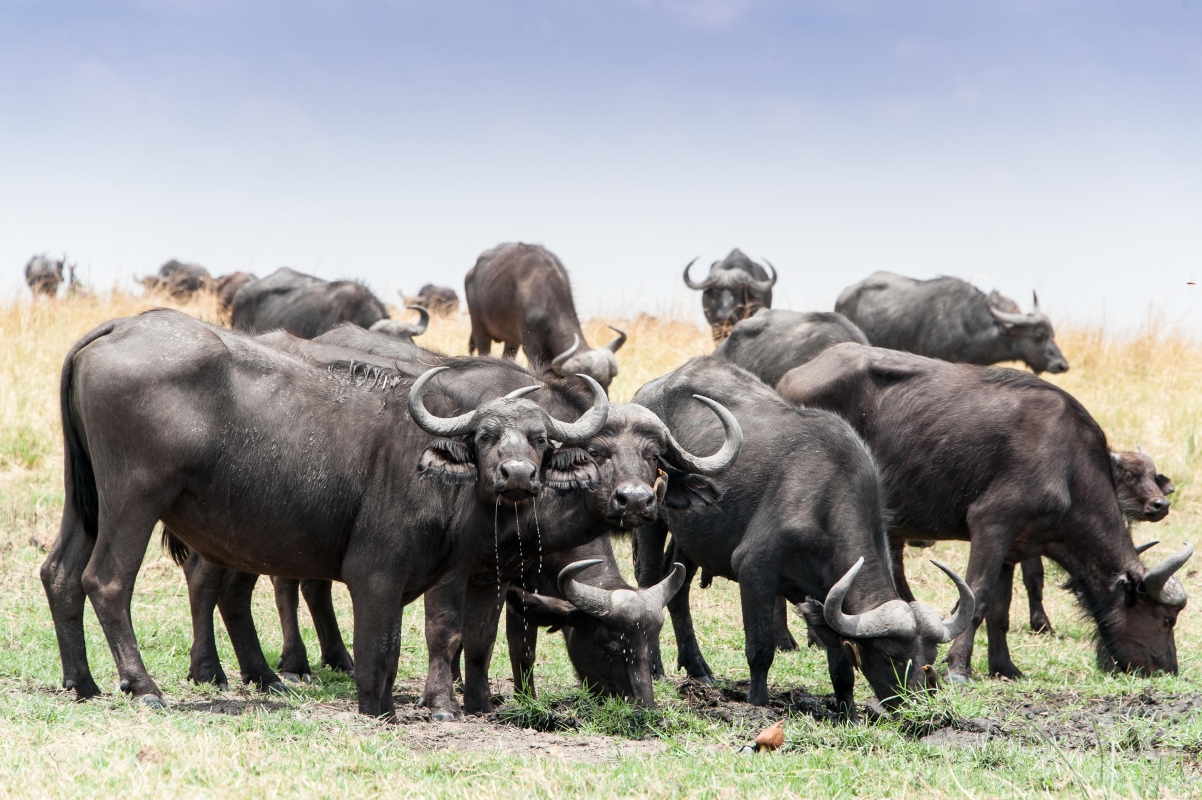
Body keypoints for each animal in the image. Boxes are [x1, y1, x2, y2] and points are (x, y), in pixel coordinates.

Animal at [40, 309, 609, 718]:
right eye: (486, 436)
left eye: (540, 440)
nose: (518, 475)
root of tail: (117, 327)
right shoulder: (391, 571)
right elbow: (399, 640)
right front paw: (409, 707)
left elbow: (438, 636)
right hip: (133, 500)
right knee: (107, 580)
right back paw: (144, 687)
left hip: (87, 498)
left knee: (60, 572)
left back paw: (84, 682)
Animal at [465, 243, 626, 389]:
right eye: (584, 385)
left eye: (608, 383)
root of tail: (471, 273)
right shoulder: (532, 348)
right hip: (479, 328)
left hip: (511, 340)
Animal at [634, 358, 974, 718]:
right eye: (891, 655)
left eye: (929, 659)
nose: (916, 707)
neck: (823, 502)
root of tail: (649, 391)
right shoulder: (755, 572)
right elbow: (761, 648)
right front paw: (758, 702)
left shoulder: (829, 595)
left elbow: (841, 666)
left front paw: (848, 712)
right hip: (651, 521)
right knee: (650, 581)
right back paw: (655, 667)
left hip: (692, 537)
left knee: (679, 590)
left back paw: (699, 668)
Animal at [776, 344, 1190, 682]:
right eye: (1166, 619)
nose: (1167, 669)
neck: (1068, 465)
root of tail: (791, 378)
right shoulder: (992, 525)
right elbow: (976, 597)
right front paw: (959, 669)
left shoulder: (1014, 546)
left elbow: (999, 610)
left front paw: (1004, 666)